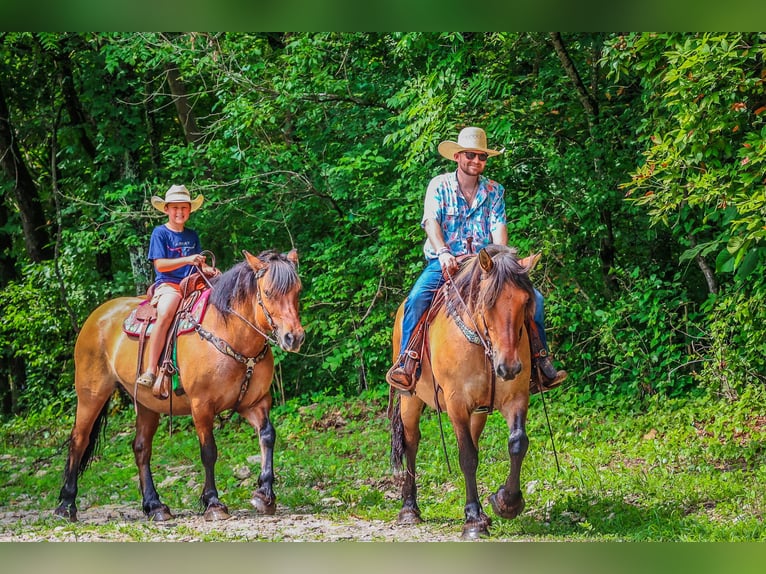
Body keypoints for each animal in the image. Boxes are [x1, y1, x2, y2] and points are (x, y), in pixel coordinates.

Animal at [54, 249, 305, 523]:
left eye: (298, 290)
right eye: (268, 292)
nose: (294, 337)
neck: (230, 332)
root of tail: (96, 316)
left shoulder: (254, 403)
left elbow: (268, 435)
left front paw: (264, 495)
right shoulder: (201, 405)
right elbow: (209, 451)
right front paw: (213, 503)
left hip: (146, 404)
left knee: (141, 448)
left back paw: (154, 506)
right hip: (91, 393)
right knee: (79, 440)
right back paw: (66, 505)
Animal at [389, 244, 539, 539]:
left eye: (526, 301)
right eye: (488, 303)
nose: (509, 367)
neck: (484, 346)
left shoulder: (516, 398)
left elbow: (517, 443)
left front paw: (506, 502)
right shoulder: (456, 403)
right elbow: (467, 456)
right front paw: (473, 520)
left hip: (478, 411)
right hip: (409, 399)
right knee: (411, 443)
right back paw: (409, 509)